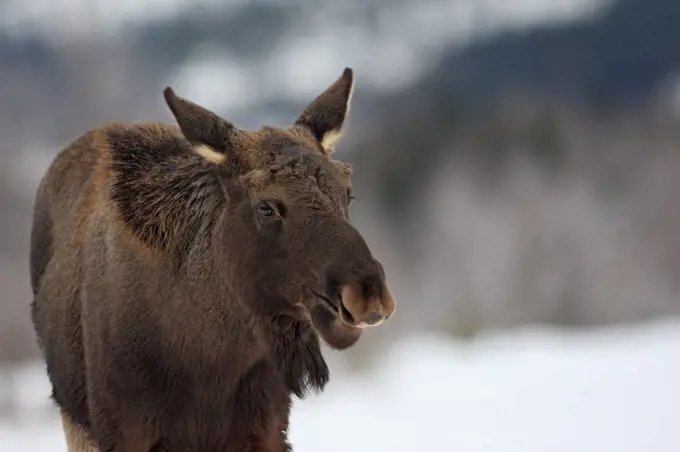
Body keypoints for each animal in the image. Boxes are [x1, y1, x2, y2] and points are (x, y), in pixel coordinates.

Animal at [29, 68, 396, 452]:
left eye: (348, 193)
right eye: (266, 207)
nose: (367, 292)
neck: (209, 360)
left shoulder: (267, 430)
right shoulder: (120, 433)